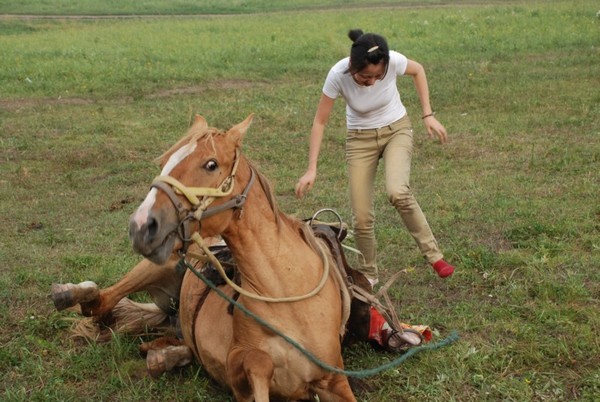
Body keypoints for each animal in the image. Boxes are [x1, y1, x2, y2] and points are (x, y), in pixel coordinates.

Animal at [128, 114, 358, 400]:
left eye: (211, 164)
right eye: (164, 163)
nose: (140, 226)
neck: (287, 296)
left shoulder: (334, 380)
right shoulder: (237, 372)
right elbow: (258, 361)